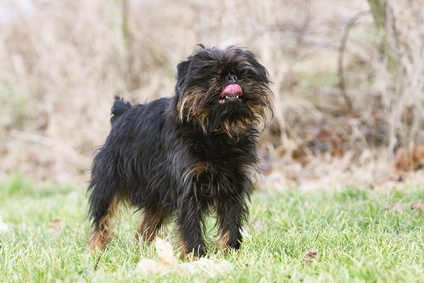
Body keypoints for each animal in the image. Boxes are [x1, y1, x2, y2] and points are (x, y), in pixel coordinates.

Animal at [88, 46, 274, 258]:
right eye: (212, 77)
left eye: (242, 73)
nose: (232, 78)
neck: (216, 132)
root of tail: (122, 113)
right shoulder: (188, 187)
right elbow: (191, 225)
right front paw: (196, 255)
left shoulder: (233, 186)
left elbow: (231, 222)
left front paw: (231, 252)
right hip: (110, 182)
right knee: (103, 219)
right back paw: (95, 249)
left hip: (157, 195)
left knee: (145, 227)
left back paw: (142, 250)